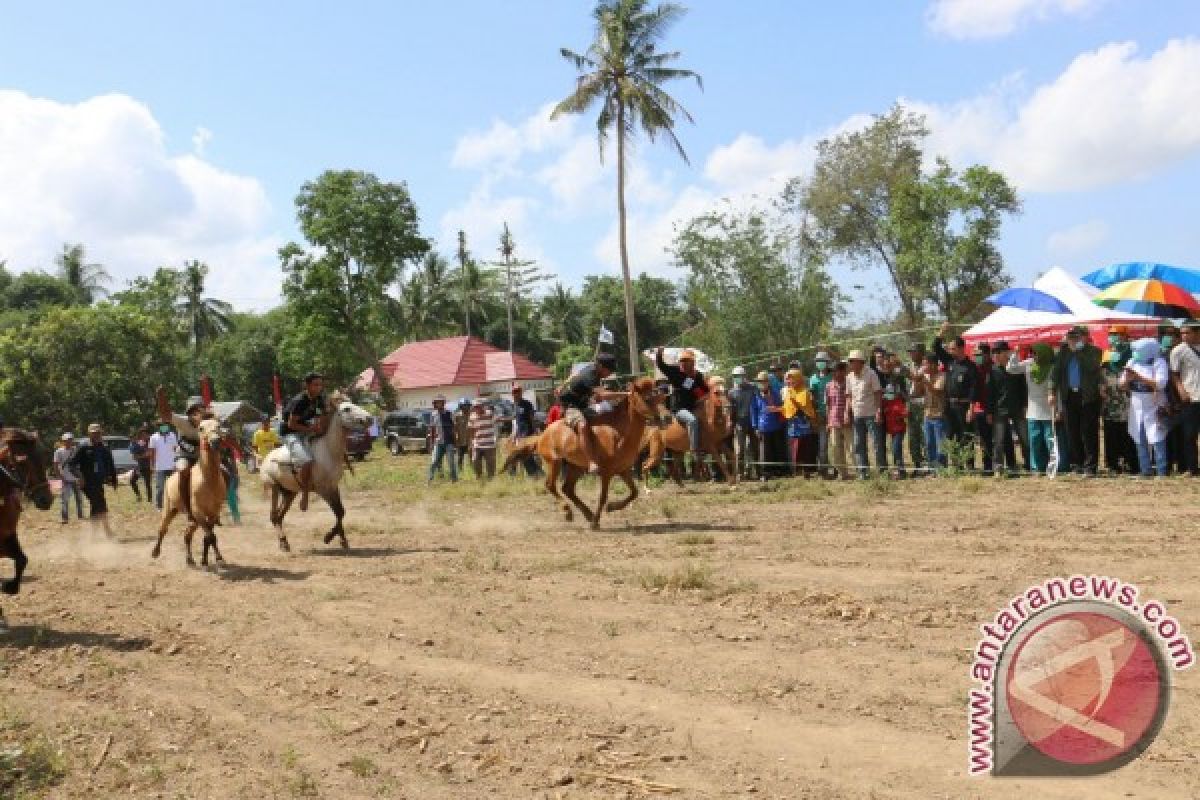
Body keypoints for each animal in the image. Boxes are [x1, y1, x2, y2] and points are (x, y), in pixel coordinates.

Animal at [0, 431, 54, 633]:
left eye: (43, 457)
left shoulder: (7, 536)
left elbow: (22, 560)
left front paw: (9, 587)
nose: (46, 499)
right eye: (21, 462)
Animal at [151, 419, 228, 568]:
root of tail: (169, 478)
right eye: (201, 428)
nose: (215, 441)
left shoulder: (213, 513)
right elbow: (211, 537)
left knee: (187, 535)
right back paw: (155, 552)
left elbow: (208, 537)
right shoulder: (198, 512)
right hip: (169, 509)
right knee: (162, 529)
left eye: (218, 426)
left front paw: (206, 560)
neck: (209, 480)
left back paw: (190, 559)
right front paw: (218, 558)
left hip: (193, 520)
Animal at [260, 393, 372, 551]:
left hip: (289, 493)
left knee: (280, 516)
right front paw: (328, 537)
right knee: (274, 516)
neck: (329, 450)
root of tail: (266, 459)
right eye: (347, 409)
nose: (369, 418)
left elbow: (340, 511)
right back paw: (283, 543)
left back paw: (285, 542)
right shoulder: (322, 489)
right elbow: (339, 512)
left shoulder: (333, 487)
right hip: (273, 488)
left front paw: (342, 540)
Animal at [499, 381, 662, 532]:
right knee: (551, 485)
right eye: (647, 398)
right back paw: (568, 512)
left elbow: (634, 493)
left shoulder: (624, 470)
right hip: (554, 463)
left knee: (567, 489)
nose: (661, 418)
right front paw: (595, 522)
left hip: (575, 467)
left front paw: (612, 507)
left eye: (657, 397)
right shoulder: (606, 473)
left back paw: (587, 514)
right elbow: (603, 497)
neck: (619, 433)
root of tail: (542, 435)